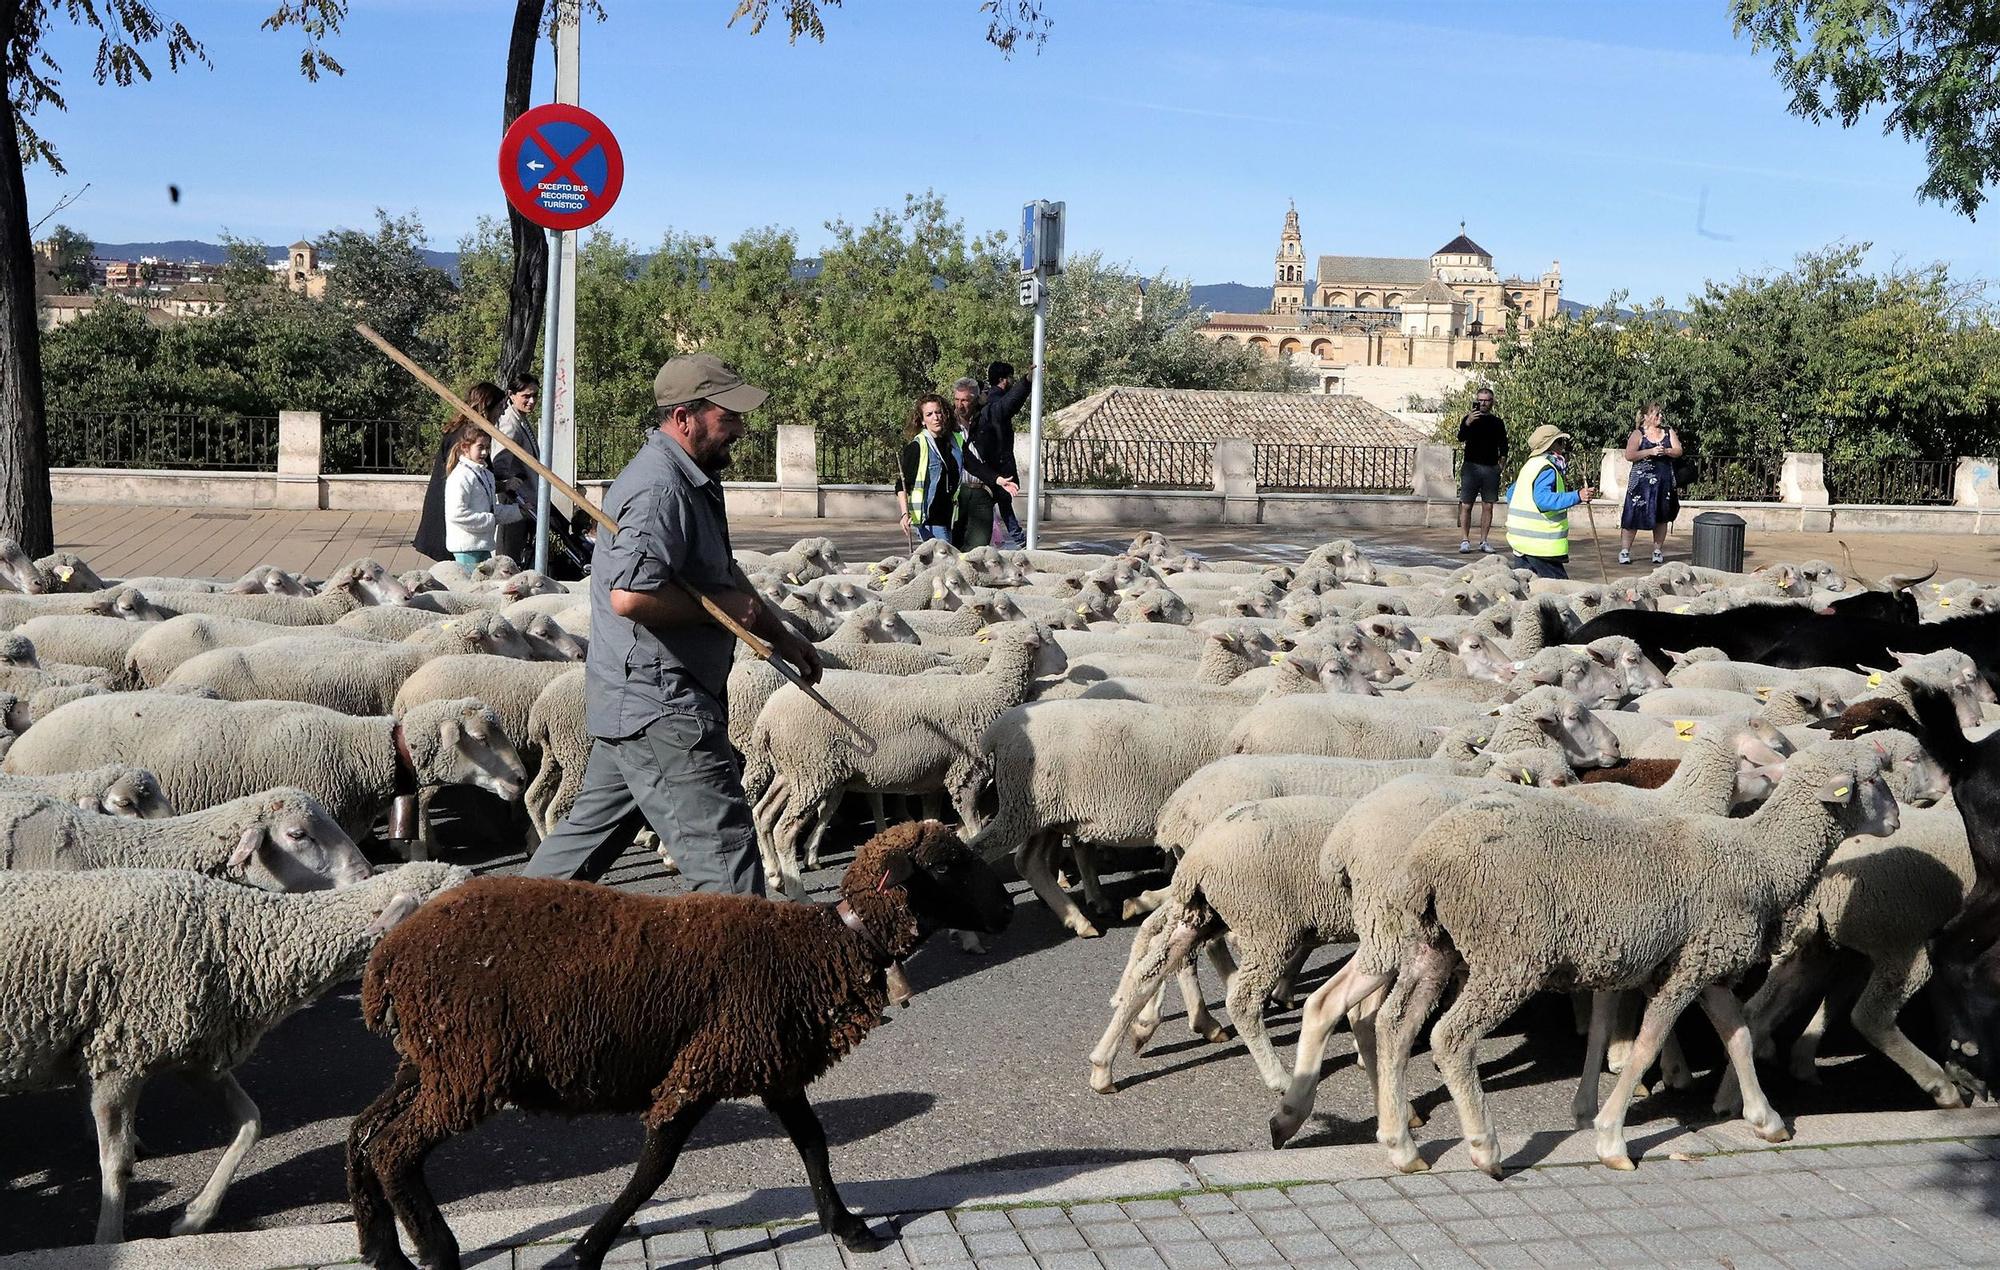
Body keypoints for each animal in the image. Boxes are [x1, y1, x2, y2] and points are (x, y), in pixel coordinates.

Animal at [342, 820, 1016, 1270]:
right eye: (949, 866)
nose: (1007, 909)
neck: (830, 945)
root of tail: (390, 956)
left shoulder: (769, 1062)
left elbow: (813, 1142)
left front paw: (848, 1228)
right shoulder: (705, 1063)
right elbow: (654, 1169)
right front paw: (584, 1251)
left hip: (429, 1060)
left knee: (363, 1132)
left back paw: (381, 1250)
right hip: (466, 1064)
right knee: (395, 1148)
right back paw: (436, 1250)